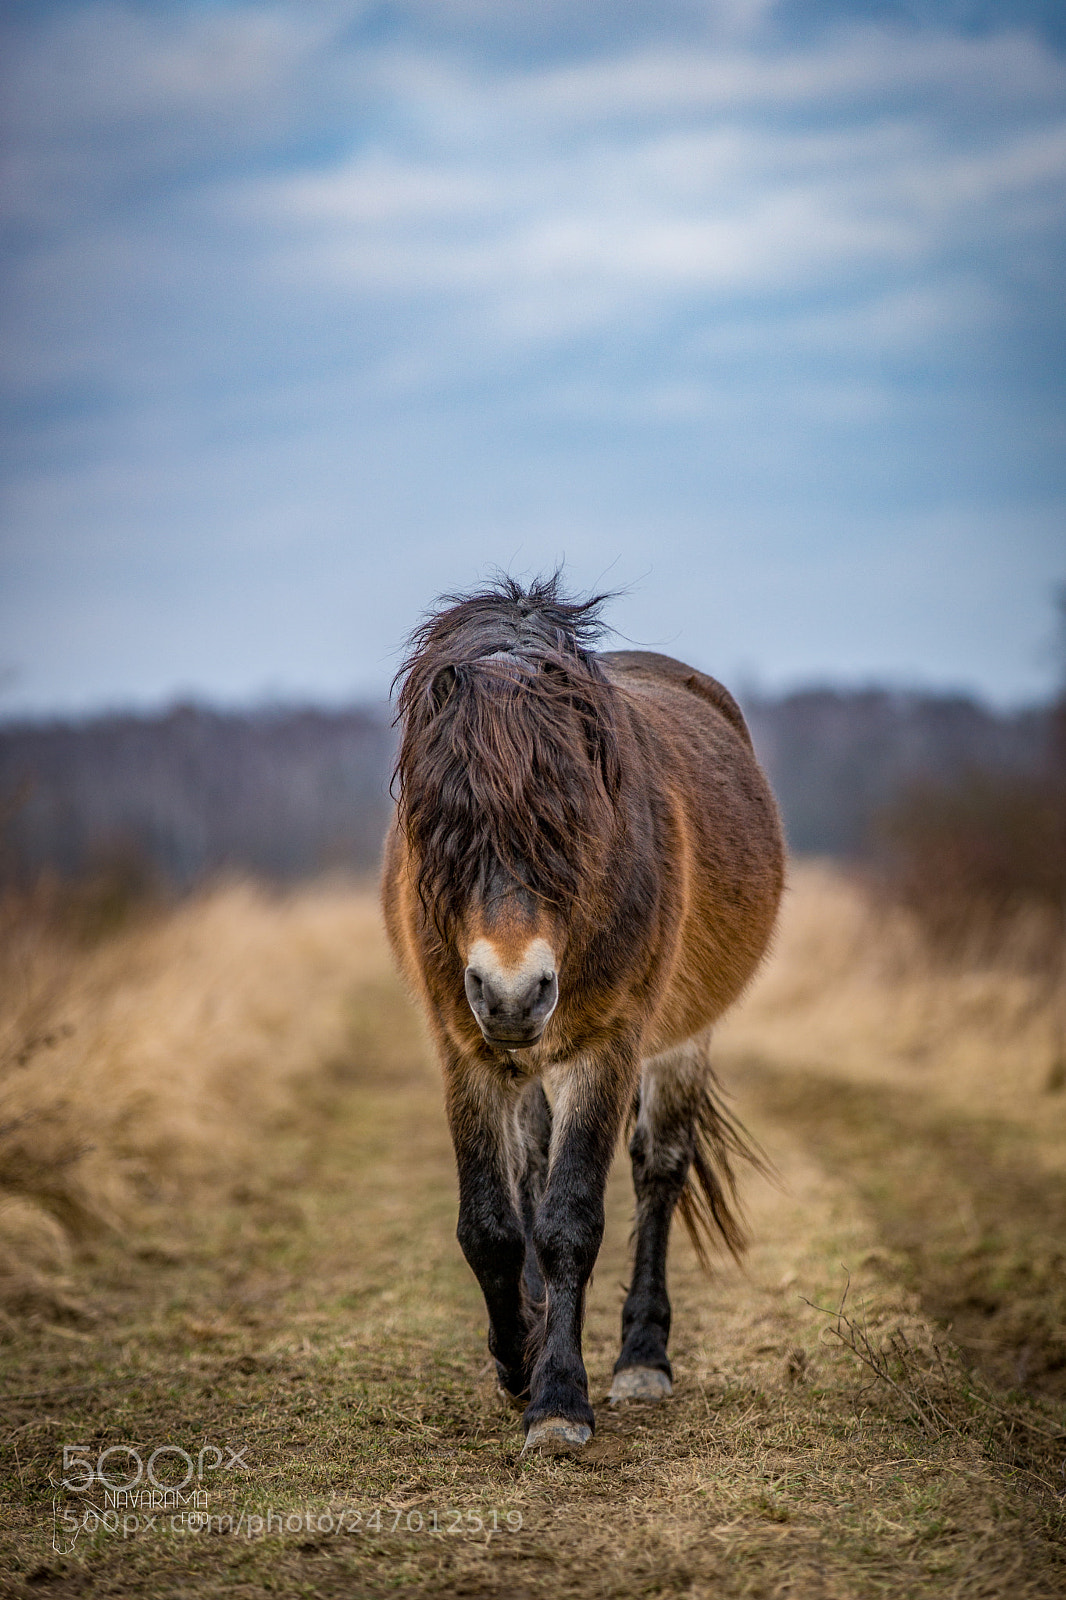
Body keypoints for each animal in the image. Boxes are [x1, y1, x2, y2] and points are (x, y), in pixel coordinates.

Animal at [382, 575, 784, 1455]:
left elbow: (570, 1221)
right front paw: (517, 1362)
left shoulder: (607, 1046)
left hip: (677, 1042)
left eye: (568, 824)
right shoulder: (463, 1049)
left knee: (658, 1170)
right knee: (530, 1174)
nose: (512, 991)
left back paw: (642, 1359)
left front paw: (560, 1400)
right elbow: (492, 1227)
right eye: (442, 825)